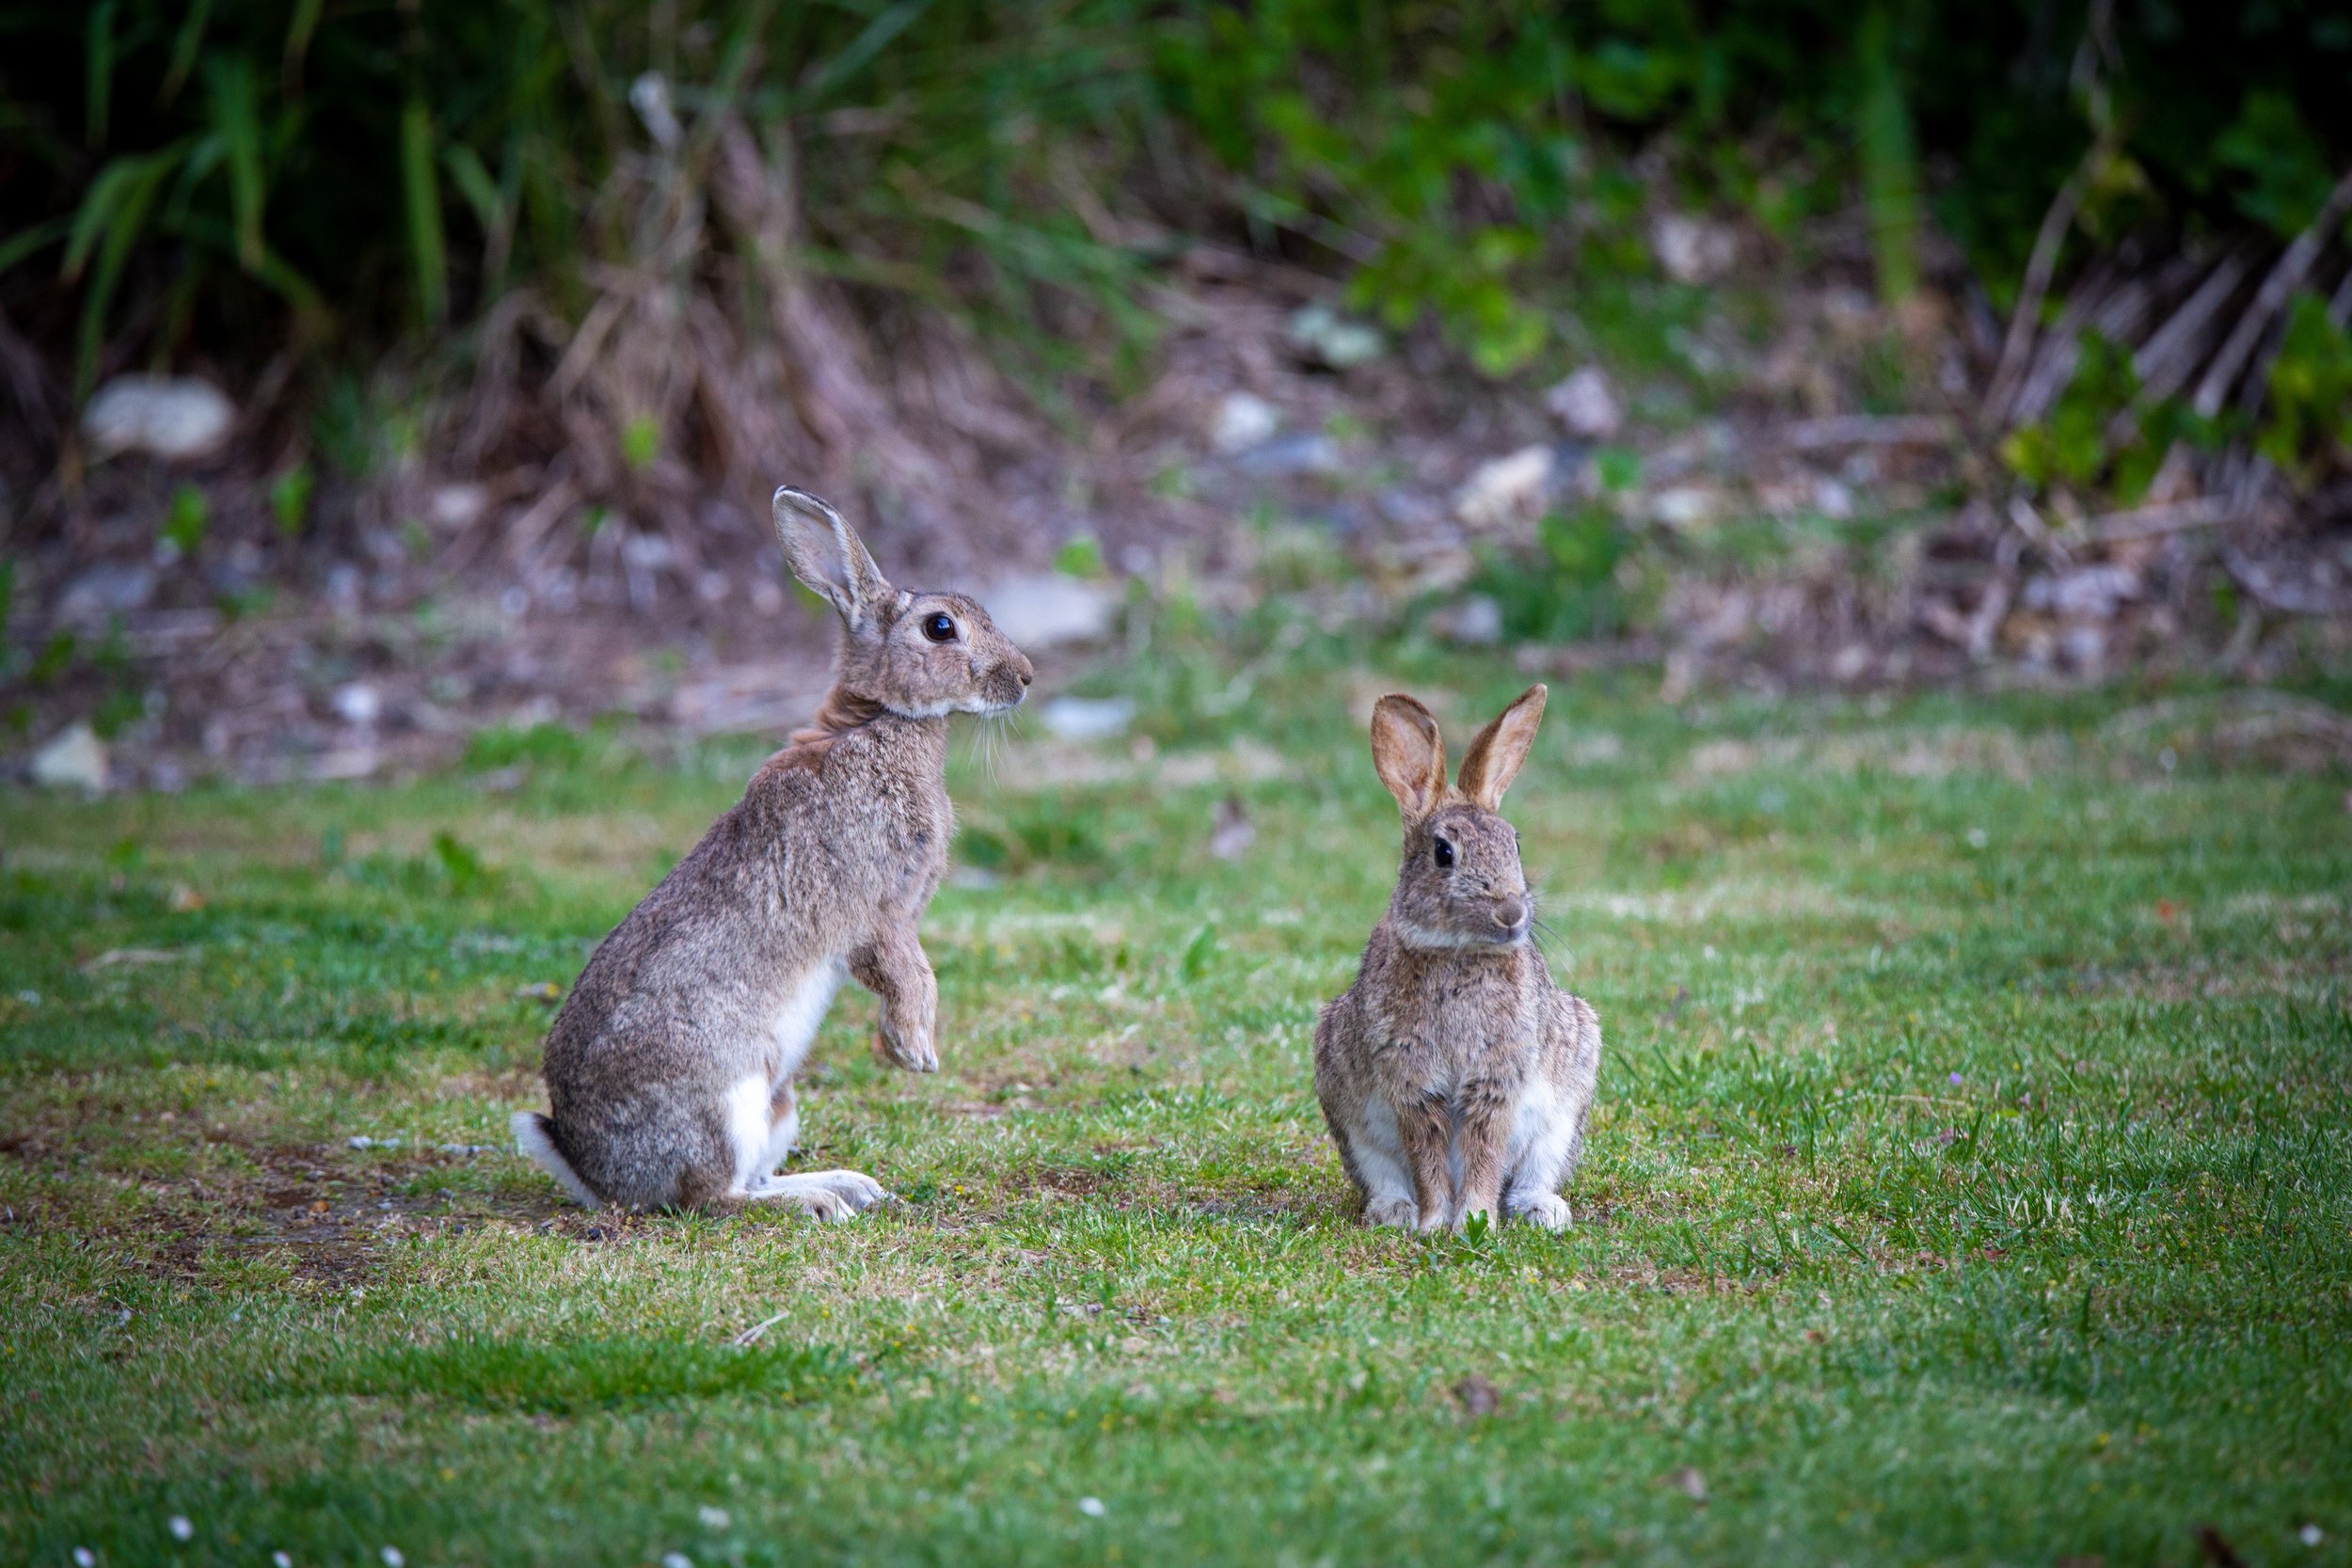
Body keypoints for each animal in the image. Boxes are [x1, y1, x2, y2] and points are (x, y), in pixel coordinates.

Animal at [510, 487, 1034, 1216]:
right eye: (939, 627)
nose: (1026, 677)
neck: (877, 721)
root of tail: (590, 1167)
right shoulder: (877, 912)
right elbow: (908, 973)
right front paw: (915, 1052)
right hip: (727, 1096)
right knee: (712, 1195)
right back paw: (816, 1203)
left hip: (779, 1104)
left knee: (752, 1175)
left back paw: (846, 1184)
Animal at [1313, 685, 1601, 1233]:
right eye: (1443, 853)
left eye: (1514, 844)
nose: (1511, 913)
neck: (1458, 954)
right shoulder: (1411, 1080)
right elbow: (1427, 1157)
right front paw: (1434, 1225)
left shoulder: (1496, 1078)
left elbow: (1484, 1152)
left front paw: (1475, 1222)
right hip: (1353, 1121)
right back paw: (1394, 1212)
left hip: (1564, 1107)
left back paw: (1542, 1210)